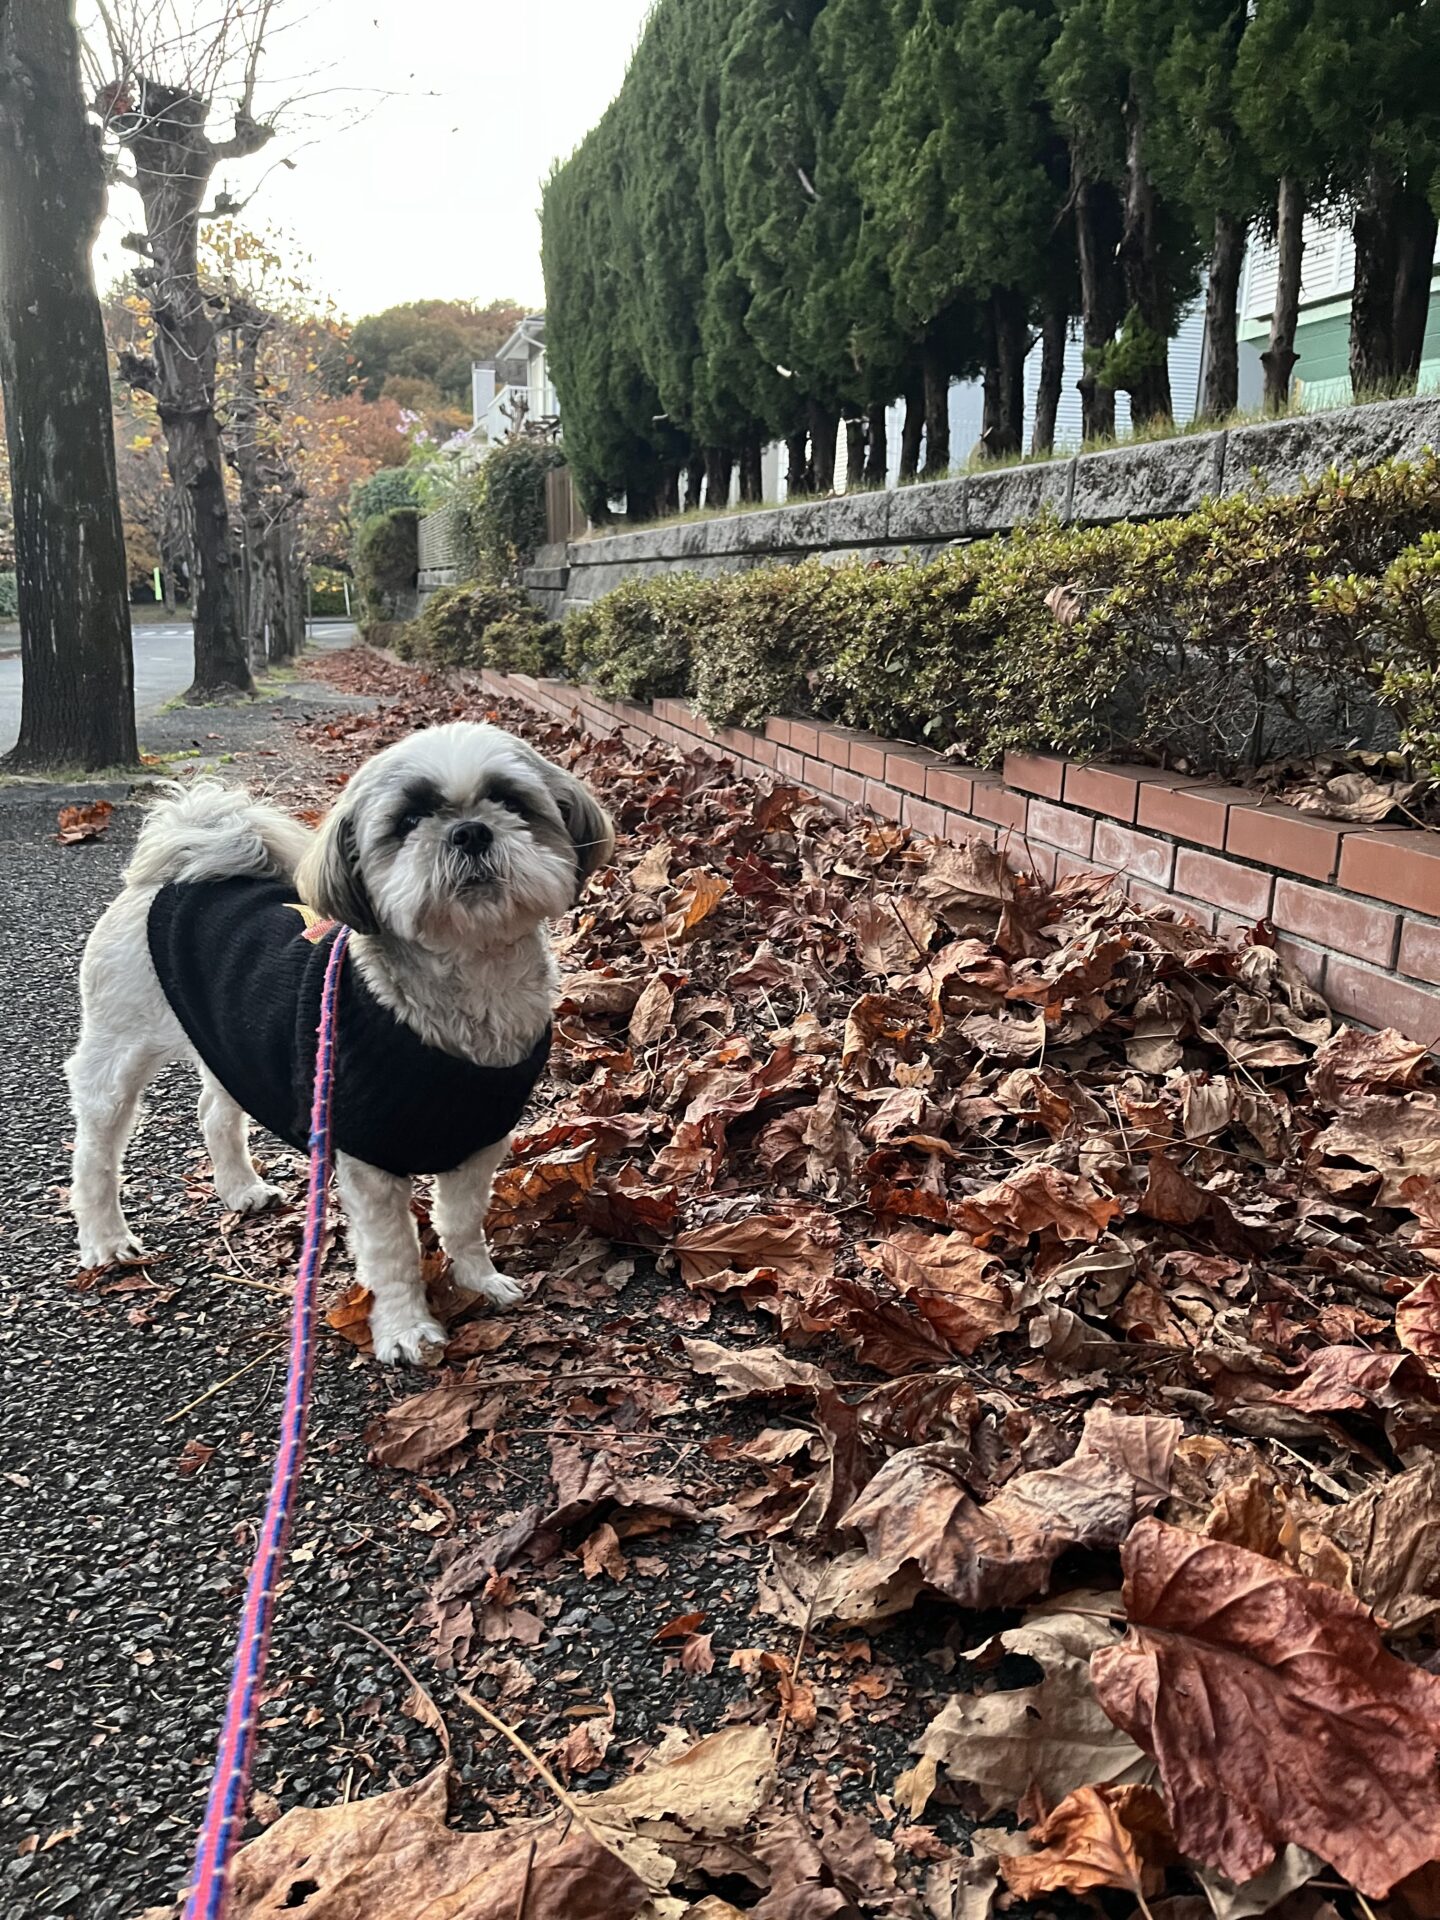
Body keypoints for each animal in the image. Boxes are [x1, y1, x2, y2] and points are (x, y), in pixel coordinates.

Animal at [66, 721, 614, 1367]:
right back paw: (105, 1238)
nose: (470, 831)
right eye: (408, 820)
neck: (470, 988)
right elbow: (393, 1250)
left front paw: (479, 1282)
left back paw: (240, 1188)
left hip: (232, 1045)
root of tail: (181, 868)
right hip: (118, 1052)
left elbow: (460, 1221)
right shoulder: (370, 1159)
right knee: (96, 1152)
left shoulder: (480, 1141)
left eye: (510, 801)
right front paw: (406, 1329)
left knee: (215, 1113)